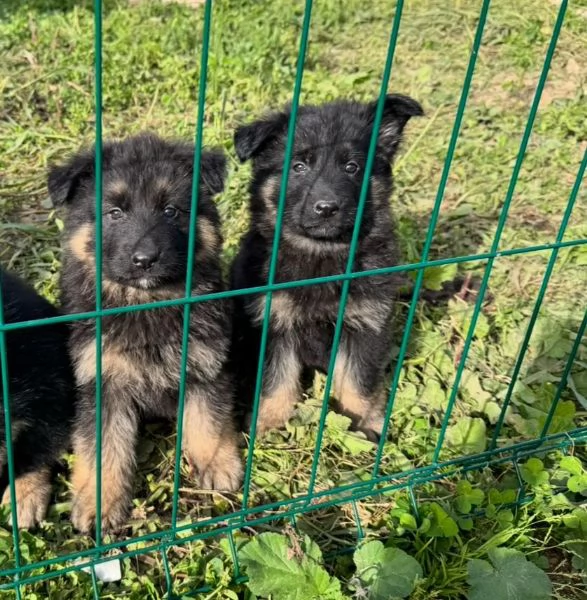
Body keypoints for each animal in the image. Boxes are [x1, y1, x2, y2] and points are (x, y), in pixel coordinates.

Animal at [49, 134, 243, 532]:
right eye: (114, 213)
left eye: (170, 211)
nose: (144, 260)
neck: (146, 302)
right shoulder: (101, 382)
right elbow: (103, 448)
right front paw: (99, 503)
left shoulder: (206, 365)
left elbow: (209, 420)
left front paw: (217, 463)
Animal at [230, 95, 422, 440]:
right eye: (299, 167)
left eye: (352, 167)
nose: (326, 208)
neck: (323, 253)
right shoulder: (273, 323)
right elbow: (276, 379)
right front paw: (267, 422)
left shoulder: (366, 325)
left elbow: (358, 382)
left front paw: (363, 422)